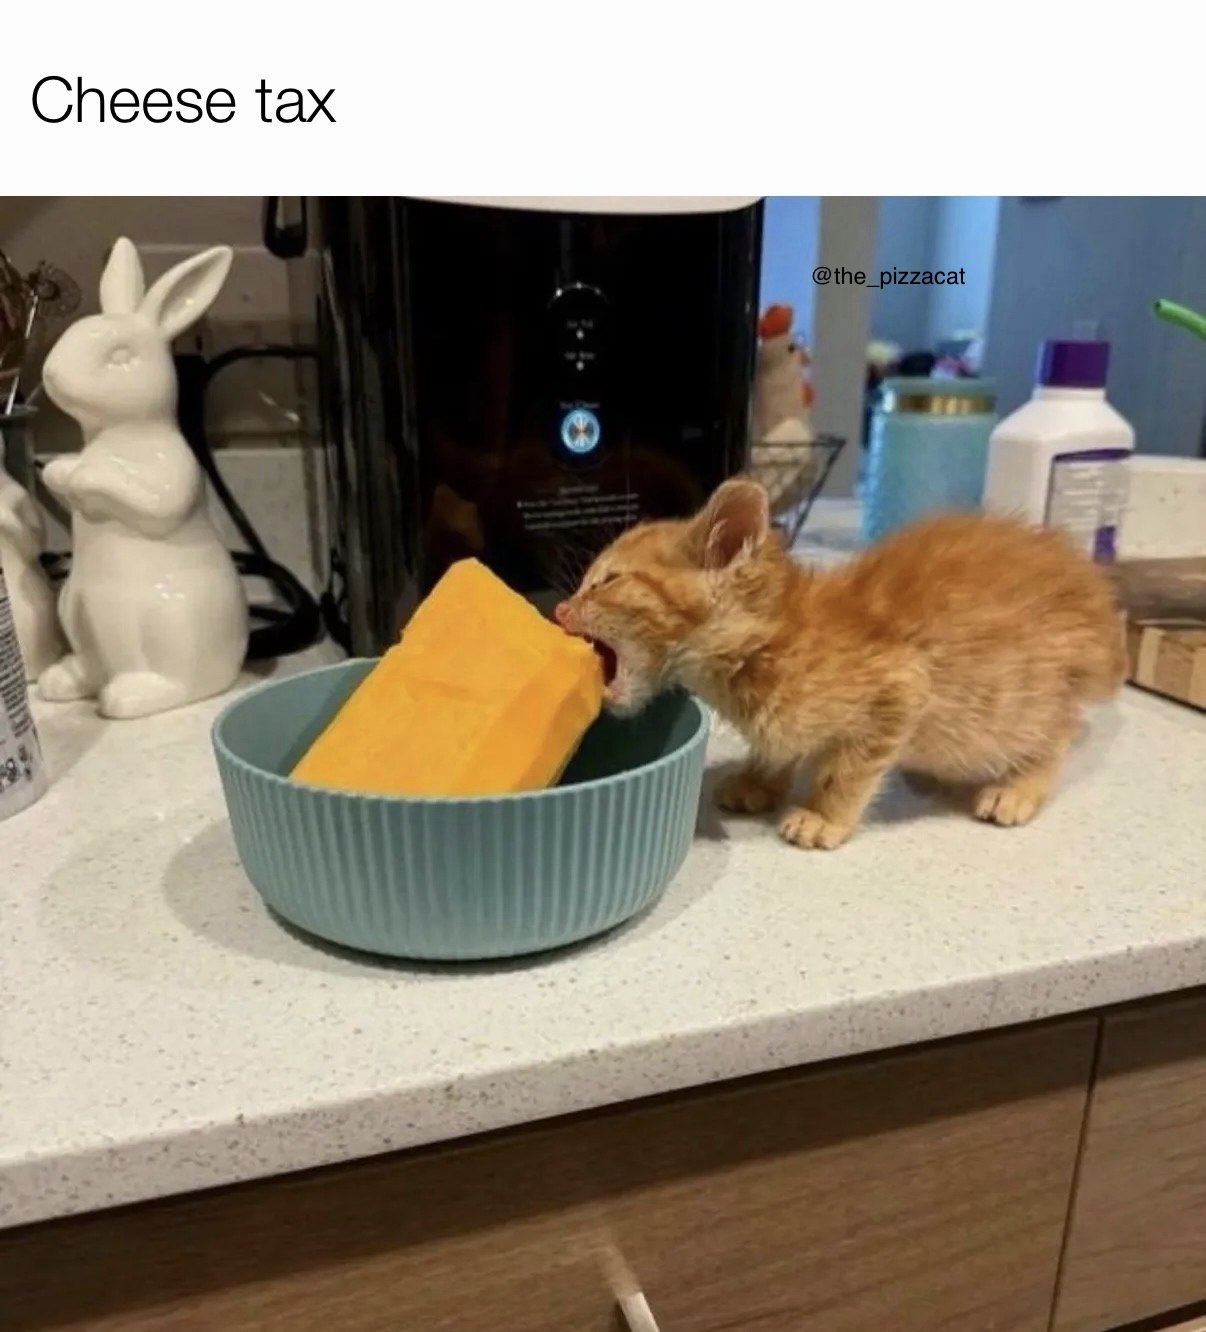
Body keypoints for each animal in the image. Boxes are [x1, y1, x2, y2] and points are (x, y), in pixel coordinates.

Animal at [554, 477, 1126, 850]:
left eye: (607, 582)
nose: (560, 610)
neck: (767, 648)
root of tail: (1095, 597)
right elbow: (780, 748)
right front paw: (760, 780)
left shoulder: (901, 686)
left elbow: (848, 769)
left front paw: (823, 815)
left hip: (1025, 699)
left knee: (1058, 730)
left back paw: (1018, 787)